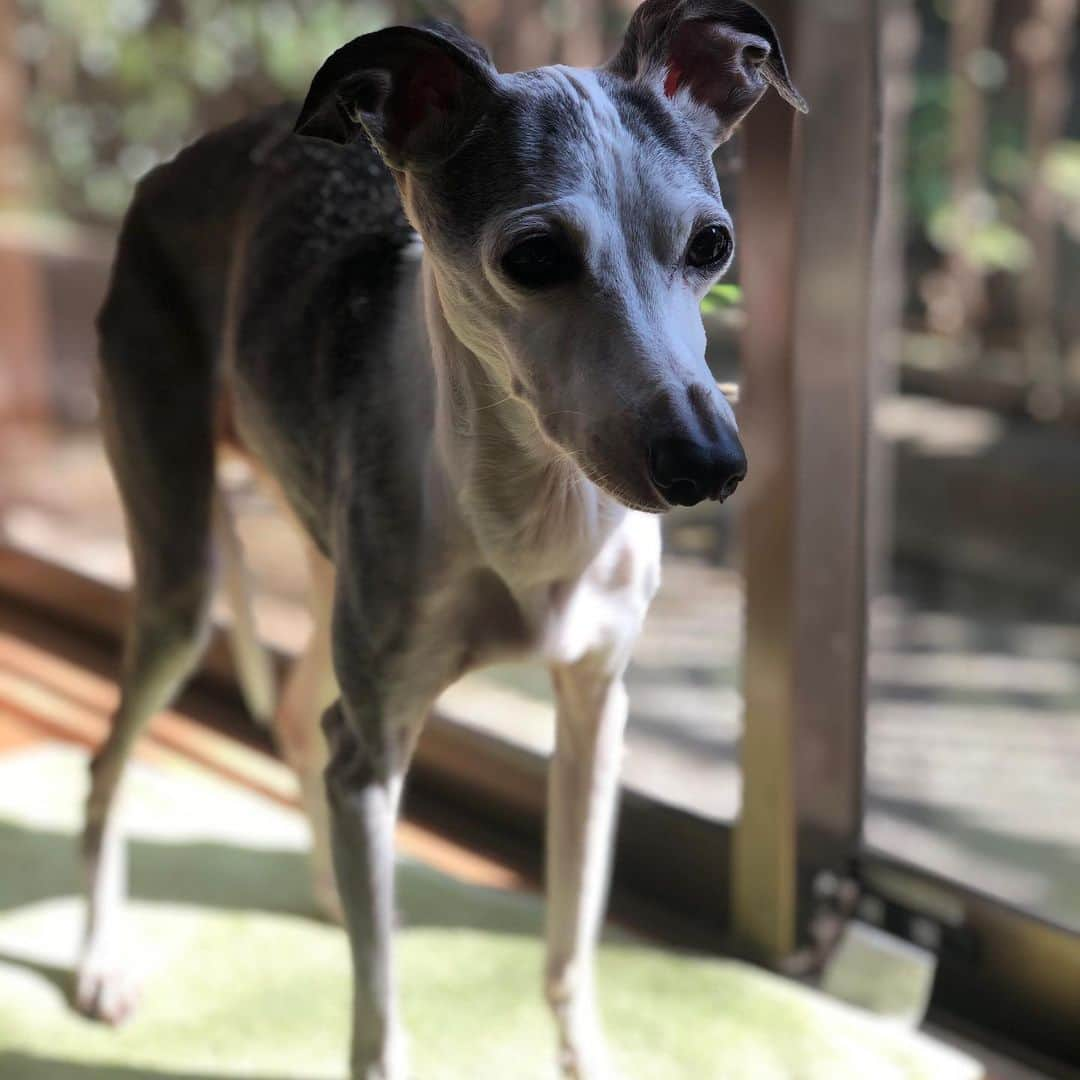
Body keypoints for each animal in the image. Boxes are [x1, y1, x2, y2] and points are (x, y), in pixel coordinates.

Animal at [82, 4, 803, 1075]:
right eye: (535, 256)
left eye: (712, 243)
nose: (709, 465)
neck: (534, 515)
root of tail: (180, 160)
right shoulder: (377, 749)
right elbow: (379, 1019)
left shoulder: (596, 714)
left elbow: (569, 940)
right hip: (184, 578)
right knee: (113, 763)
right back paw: (99, 961)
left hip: (329, 568)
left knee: (299, 717)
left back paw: (331, 894)